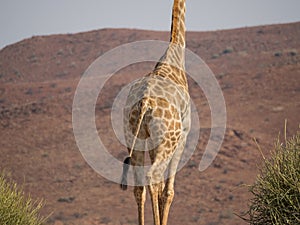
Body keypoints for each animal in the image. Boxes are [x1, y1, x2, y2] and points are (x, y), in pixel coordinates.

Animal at [119, 0, 190, 224]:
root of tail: (145, 103)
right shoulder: (184, 135)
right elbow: (168, 191)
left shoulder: (152, 142)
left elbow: (158, 190)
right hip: (168, 139)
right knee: (153, 177)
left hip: (135, 136)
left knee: (139, 187)